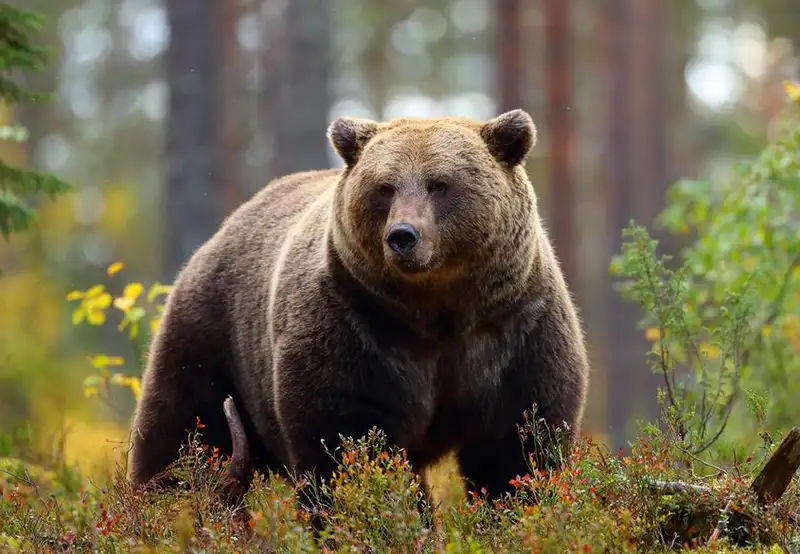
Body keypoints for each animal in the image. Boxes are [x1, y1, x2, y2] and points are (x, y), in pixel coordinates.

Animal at [126, 108, 590, 522]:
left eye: (440, 184)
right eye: (385, 187)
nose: (403, 236)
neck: (439, 312)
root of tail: (225, 228)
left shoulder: (514, 330)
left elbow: (518, 450)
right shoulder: (356, 329)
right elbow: (347, 444)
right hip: (213, 335)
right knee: (184, 434)